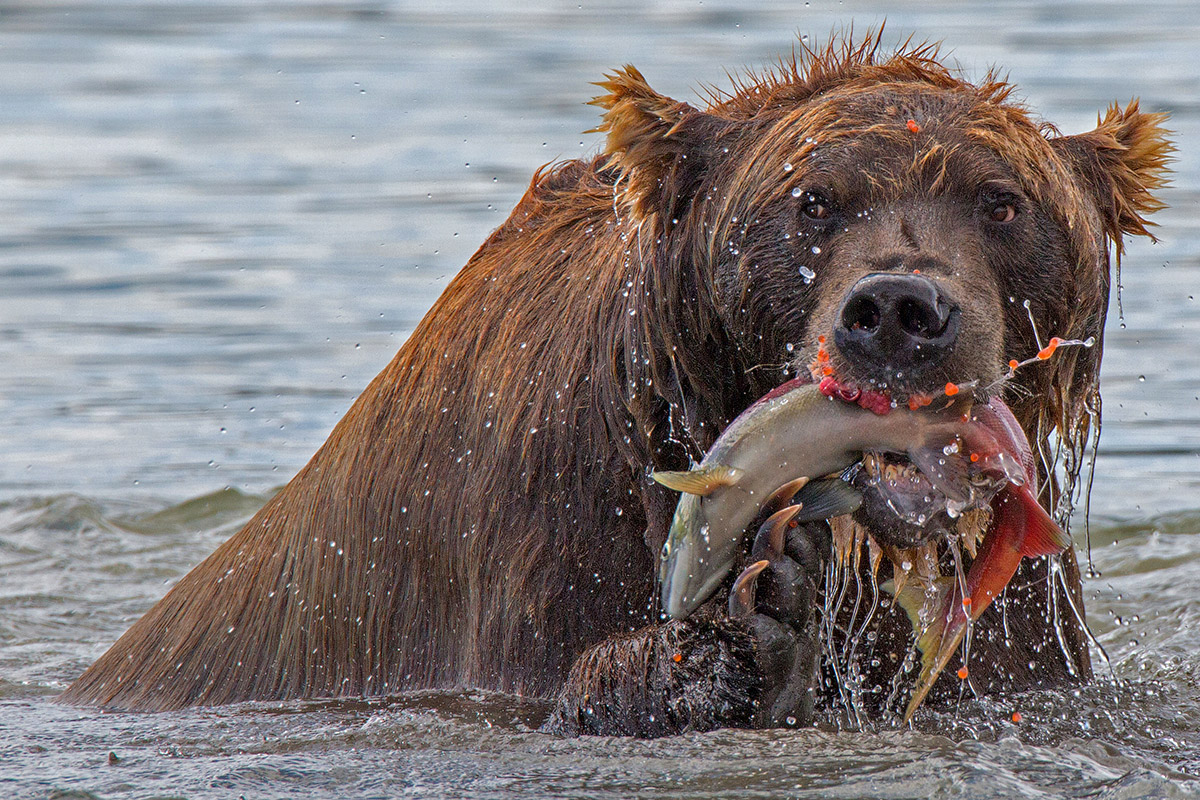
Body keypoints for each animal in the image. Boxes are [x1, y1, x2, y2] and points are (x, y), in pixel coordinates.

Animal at [58, 35, 1171, 738]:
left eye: (1002, 202)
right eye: (814, 200)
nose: (898, 311)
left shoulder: (1022, 621)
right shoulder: (532, 543)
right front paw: (753, 624)